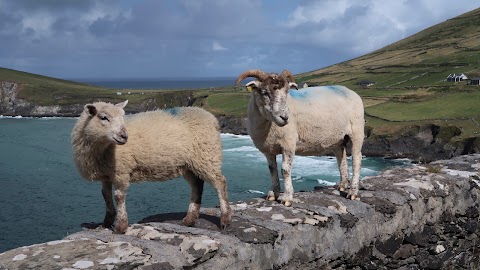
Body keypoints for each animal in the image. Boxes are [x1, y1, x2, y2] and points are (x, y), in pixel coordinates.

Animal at [71, 100, 232, 233]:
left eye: (123, 117)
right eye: (103, 117)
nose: (124, 136)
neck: (102, 149)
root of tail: (211, 118)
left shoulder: (121, 171)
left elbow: (118, 196)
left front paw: (120, 226)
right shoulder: (106, 174)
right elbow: (106, 196)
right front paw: (106, 222)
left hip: (207, 155)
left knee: (220, 182)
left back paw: (225, 219)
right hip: (189, 164)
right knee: (197, 185)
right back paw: (189, 219)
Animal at [235, 69, 364, 207]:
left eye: (287, 92)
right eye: (264, 92)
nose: (285, 117)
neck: (267, 125)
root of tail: (349, 91)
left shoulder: (288, 144)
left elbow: (285, 170)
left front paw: (287, 197)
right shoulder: (268, 149)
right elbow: (272, 170)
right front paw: (273, 193)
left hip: (356, 131)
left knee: (356, 159)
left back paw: (353, 192)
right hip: (338, 138)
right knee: (341, 157)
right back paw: (342, 185)